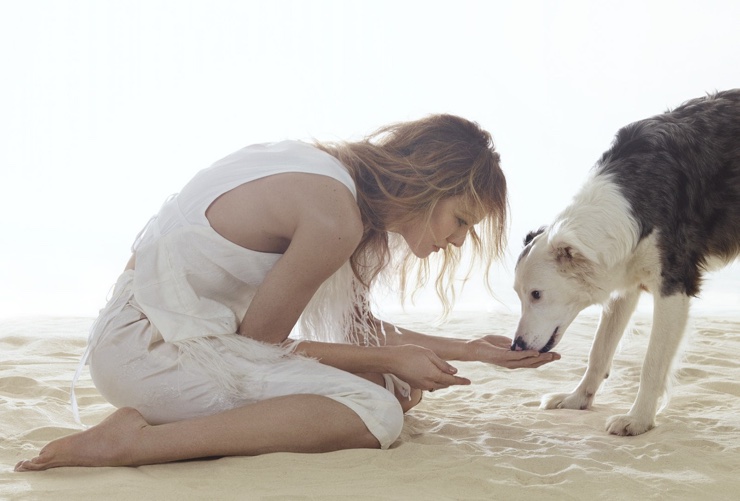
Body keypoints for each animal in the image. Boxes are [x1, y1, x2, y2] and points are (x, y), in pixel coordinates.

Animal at [516, 90, 740, 434]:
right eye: (519, 294)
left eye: (536, 295)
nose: (515, 346)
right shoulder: (624, 284)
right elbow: (598, 351)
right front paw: (577, 399)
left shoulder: (674, 286)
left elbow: (652, 363)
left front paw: (639, 419)